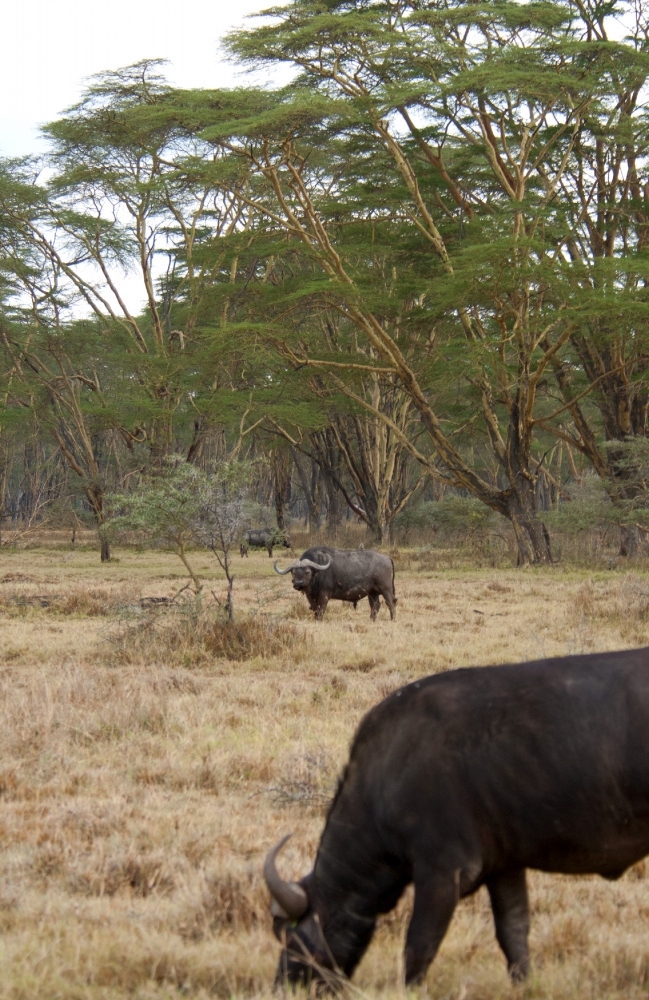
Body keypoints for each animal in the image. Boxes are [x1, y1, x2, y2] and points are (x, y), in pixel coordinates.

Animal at [264, 648, 649, 984]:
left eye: (291, 939)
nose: (283, 985)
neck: (390, 769)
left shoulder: (442, 874)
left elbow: (418, 947)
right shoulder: (505, 868)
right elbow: (514, 935)